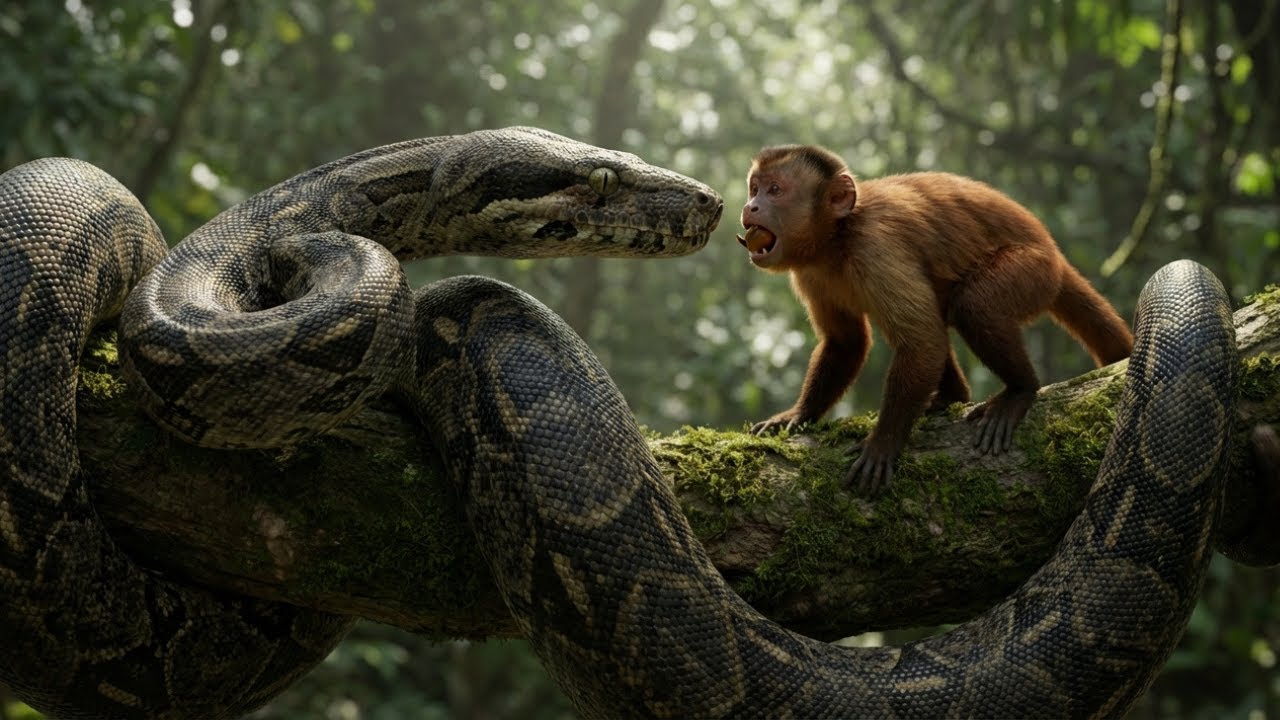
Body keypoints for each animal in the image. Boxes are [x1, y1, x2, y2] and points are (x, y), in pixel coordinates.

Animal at [738, 144, 1133, 493]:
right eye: (755, 188)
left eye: (776, 191)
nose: (750, 205)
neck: (838, 236)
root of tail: (1054, 253)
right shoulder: (810, 273)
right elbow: (847, 343)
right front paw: (798, 415)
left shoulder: (875, 248)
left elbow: (922, 341)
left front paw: (883, 443)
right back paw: (952, 396)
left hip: (1033, 272)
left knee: (972, 306)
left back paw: (1020, 390)